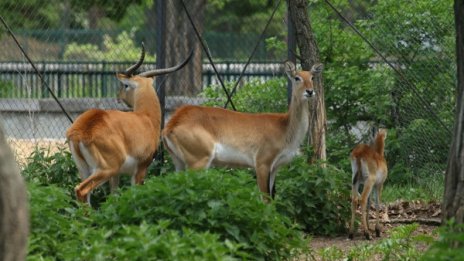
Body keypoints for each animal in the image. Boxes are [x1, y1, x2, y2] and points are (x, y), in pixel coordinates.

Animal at [65, 43, 192, 203]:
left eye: (125, 86)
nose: (118, 97)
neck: (146, 118)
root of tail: (81, 130)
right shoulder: (140, 169)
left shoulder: (116, 175)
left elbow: (113, 197)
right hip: (106, 169)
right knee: (81, 190)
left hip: (86, 170)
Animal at [160, 61, 322, 199]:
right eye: (297, 77)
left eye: (312, 77)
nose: (310, 91)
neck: (285, 127)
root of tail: (172, 123)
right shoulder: (262, 164)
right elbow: (265, 200)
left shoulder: (275, 168)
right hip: (198, 162)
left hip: (179, 163)